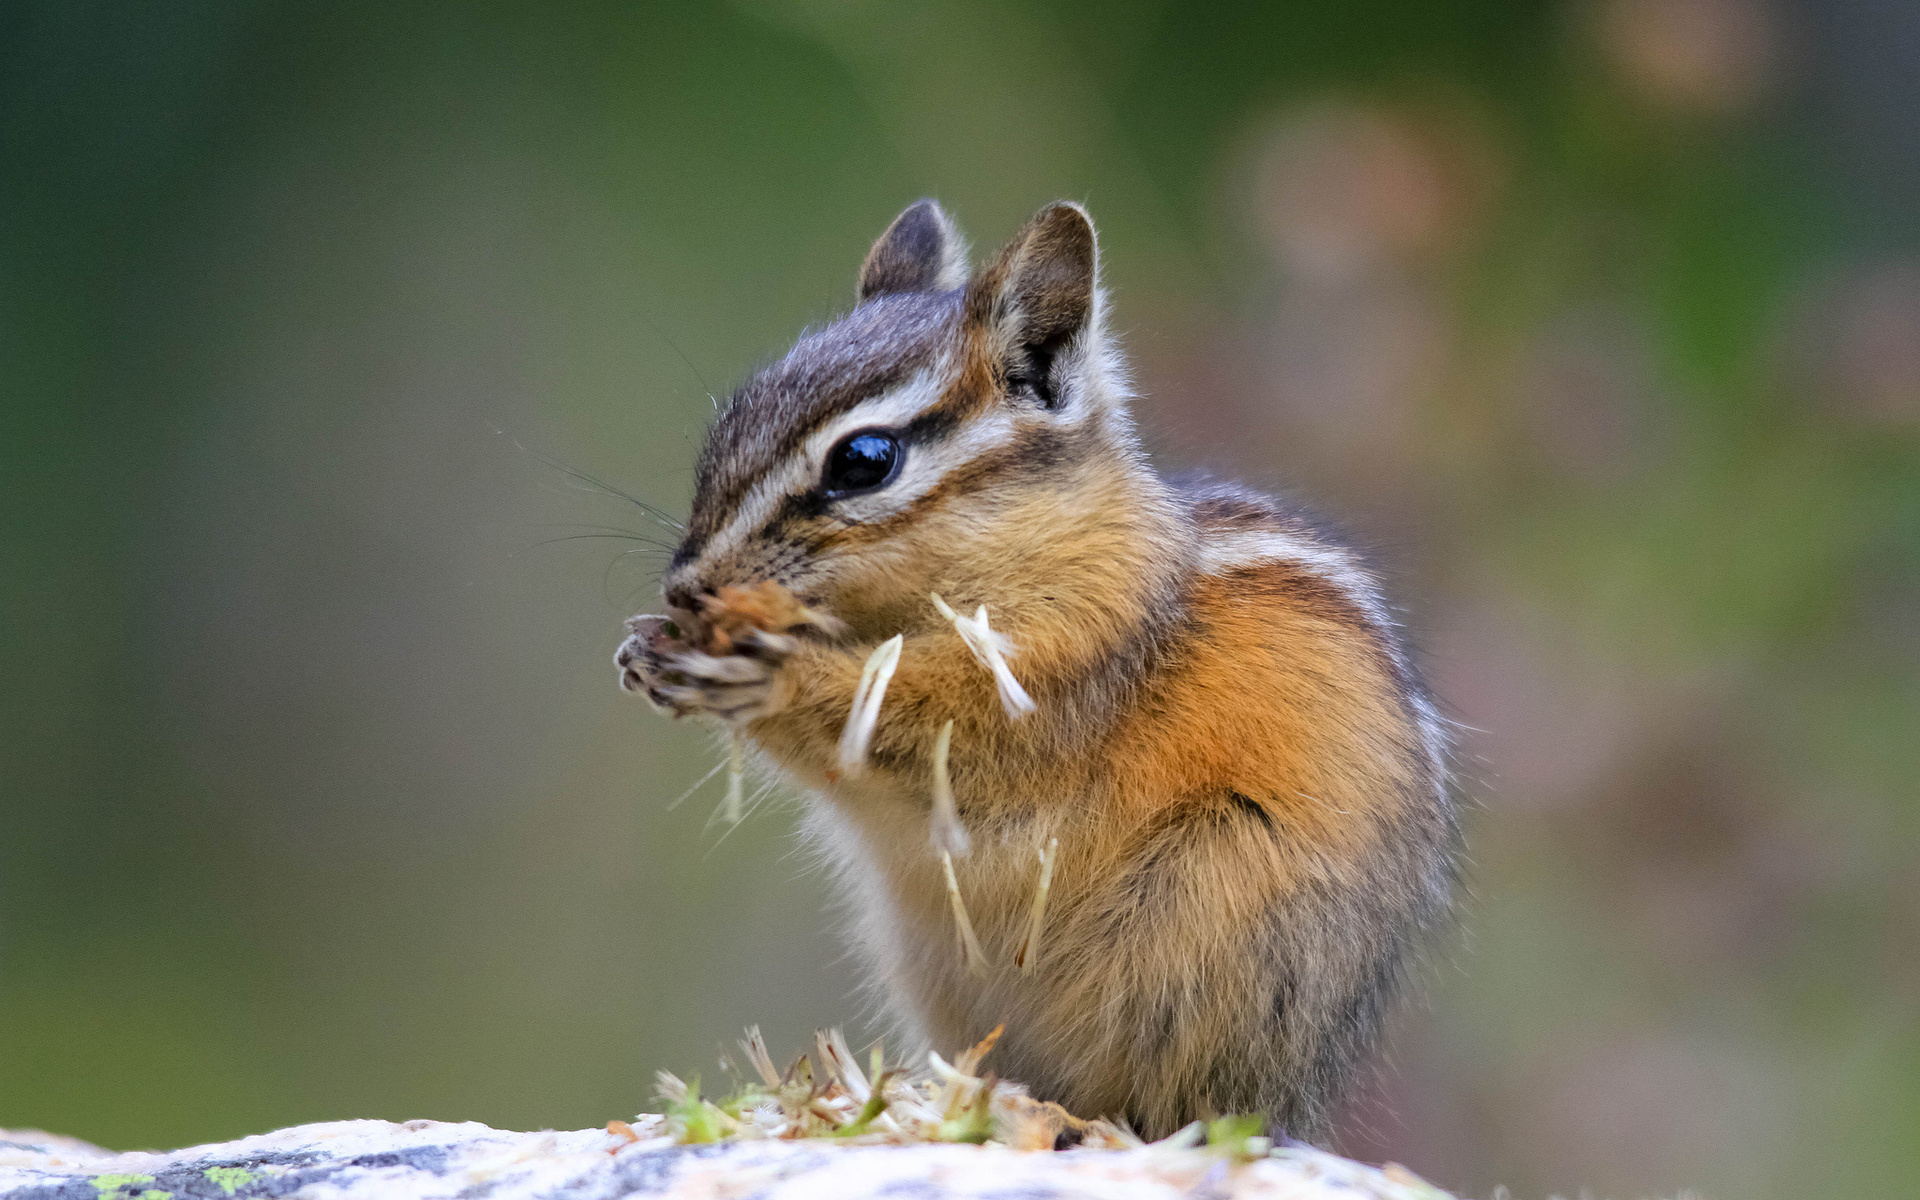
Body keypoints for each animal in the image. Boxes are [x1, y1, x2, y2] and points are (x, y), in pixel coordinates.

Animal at [614, 198, 1451, 1144]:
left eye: (864, 461)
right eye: (729, 423)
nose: (686, 586)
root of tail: (1296, 1102)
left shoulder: (1066, 663)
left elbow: (919, 723)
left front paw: (771, 677)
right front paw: (645, 650)